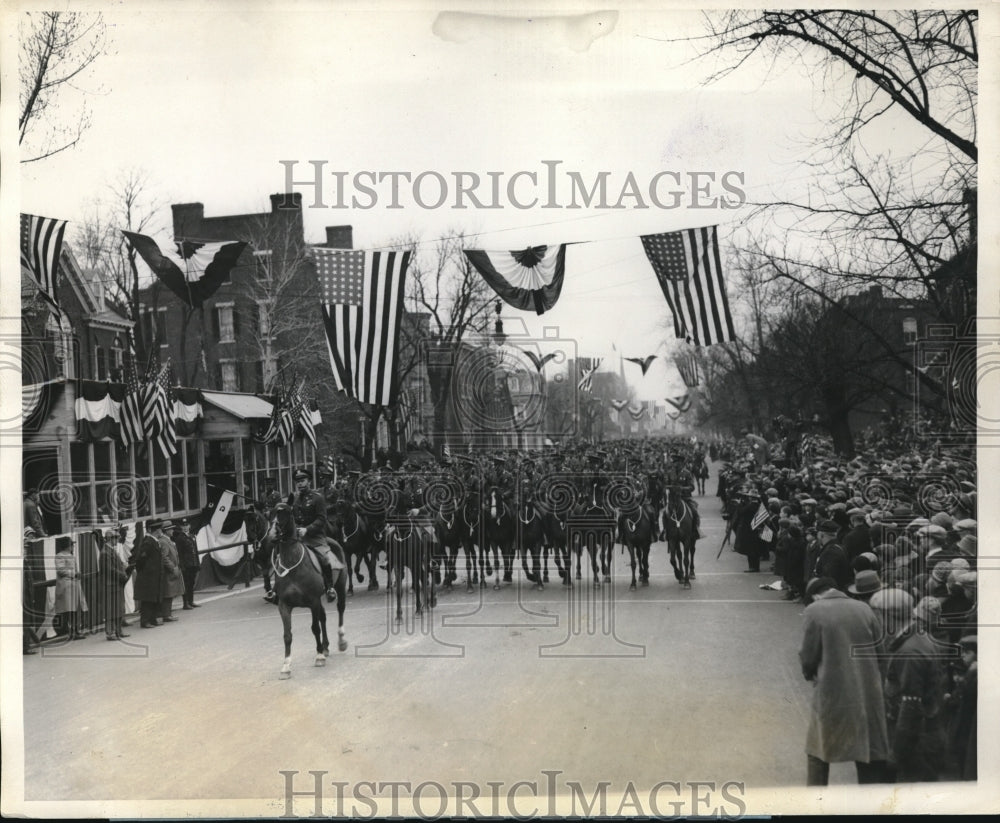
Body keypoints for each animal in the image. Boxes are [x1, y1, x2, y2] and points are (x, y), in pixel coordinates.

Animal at [266, 506, 348, 680]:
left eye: (284, 514)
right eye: (270, 514)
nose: (272, 535)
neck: (293, 564)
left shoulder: (313, 601)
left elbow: (315, 628)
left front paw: (319, 657)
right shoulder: (284, 606)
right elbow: (287, 635)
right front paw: (286, 666)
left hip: (340, 586)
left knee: (340, 609)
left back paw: (341, 641)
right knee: (323, 617)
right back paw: (325, 647)